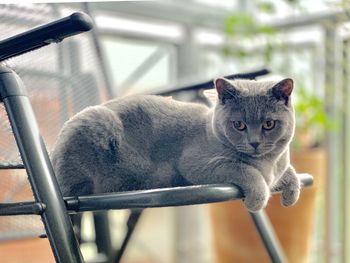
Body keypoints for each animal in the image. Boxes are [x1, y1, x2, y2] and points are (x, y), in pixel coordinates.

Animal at [51, 78, 300, 212]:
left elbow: (290, 171)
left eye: (269, 124)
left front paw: (291, 196)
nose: (255, 142)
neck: (269, 164)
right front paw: (258, 199)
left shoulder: (280, 165)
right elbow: (245, 170)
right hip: (96, 122)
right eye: (239, 125)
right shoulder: (197, 163)